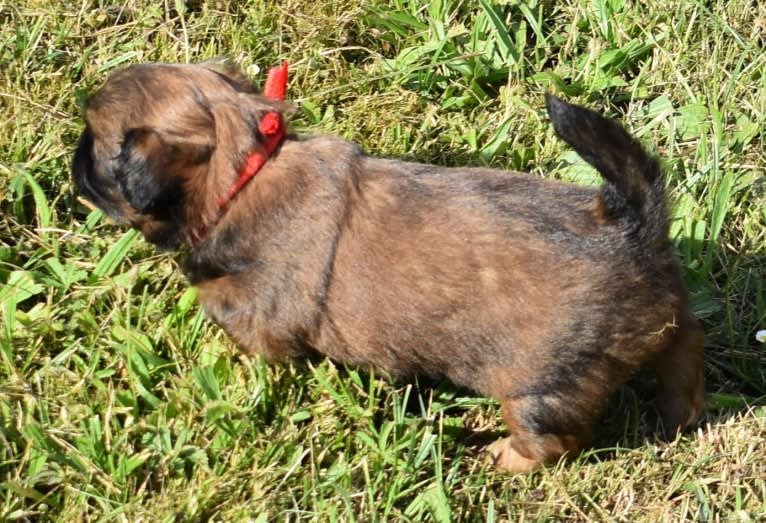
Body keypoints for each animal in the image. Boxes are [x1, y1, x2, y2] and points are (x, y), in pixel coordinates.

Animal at [73, 62, 708, 474]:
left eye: (96, 149)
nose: (73, 162)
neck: (244, 172)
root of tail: (630, 226)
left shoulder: (257, 319)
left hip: (540, 388)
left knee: (554, 441)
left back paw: (497, 459)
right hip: (669, 323)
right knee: (684, 357)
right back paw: (678, 417)